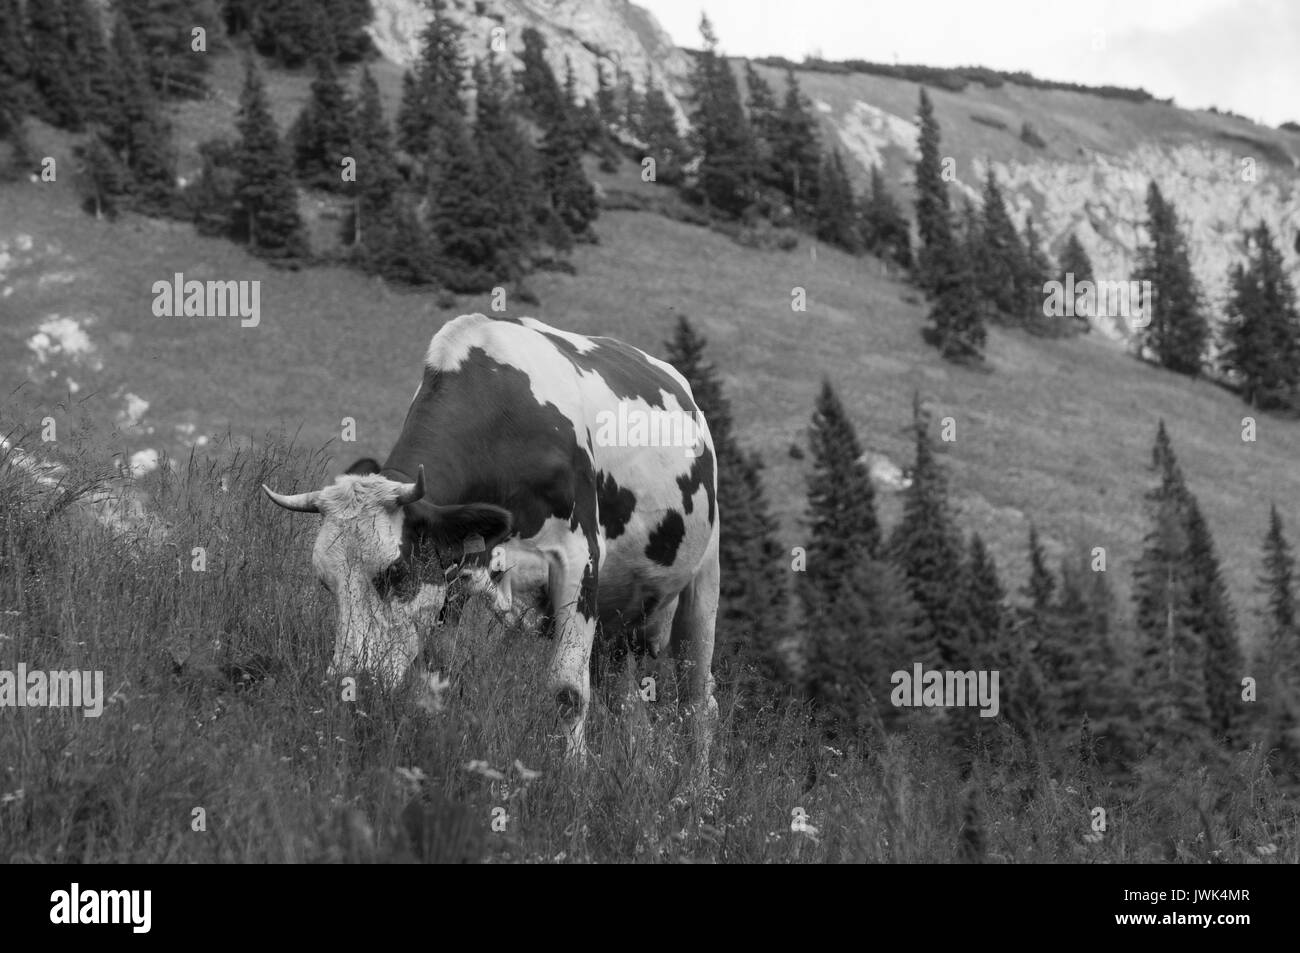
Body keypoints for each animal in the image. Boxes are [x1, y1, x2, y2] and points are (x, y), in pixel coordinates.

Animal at [257, 315, 717, 764]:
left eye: (396, 572)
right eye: (325, 583)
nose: (350, 683)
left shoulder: (578, 557)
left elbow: (568, 690)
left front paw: (573, 773)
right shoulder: (456, 569)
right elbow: (435, 678)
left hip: (702, 584)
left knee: (697, 702)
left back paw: (696, 783)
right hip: (617, 622)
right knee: (631, 708)